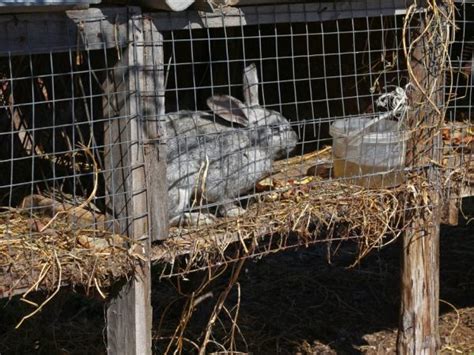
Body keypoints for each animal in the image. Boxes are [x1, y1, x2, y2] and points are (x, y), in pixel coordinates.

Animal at [163, 63, 296, 227]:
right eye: (275, 128)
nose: (295, 139)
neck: (251, 141)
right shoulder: (220, 183)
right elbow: (223, 201)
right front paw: (236, 211)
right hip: (179, 187)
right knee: (171, 218)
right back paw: (200, 219)